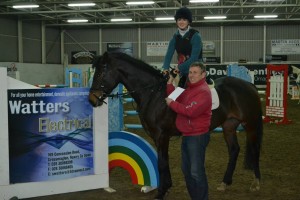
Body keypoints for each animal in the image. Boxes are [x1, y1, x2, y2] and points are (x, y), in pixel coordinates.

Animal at [88, 52, 262, 200]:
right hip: (229, 126)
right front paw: (166, 188)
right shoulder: (157, 137)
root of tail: (248, 85)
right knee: (234, 150)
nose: (92, 99)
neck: (154, 94)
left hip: (251, 125)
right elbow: (163, 161)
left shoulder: (162, 136)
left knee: (254, 150)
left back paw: (256, 183)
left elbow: (162, 163)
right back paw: (225, 182)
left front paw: (161, 192)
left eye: (101, 73)